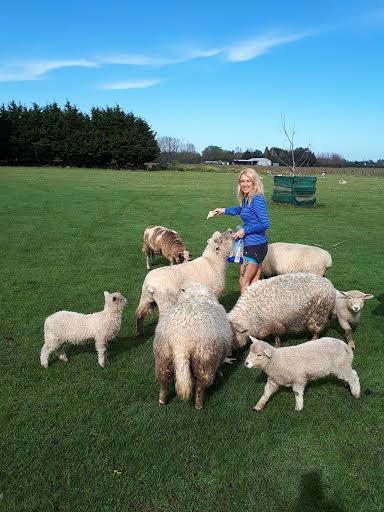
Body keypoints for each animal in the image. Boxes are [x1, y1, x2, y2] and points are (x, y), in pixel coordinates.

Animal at [152, 280, 231, 408]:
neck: (197, 295)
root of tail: (181, 341)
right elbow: (219, 365)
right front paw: (220, 373)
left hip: (163, 356)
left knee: (164, 381)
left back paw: (162, 401)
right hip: (204, 360)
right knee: (200, 386)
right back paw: (198, 405)